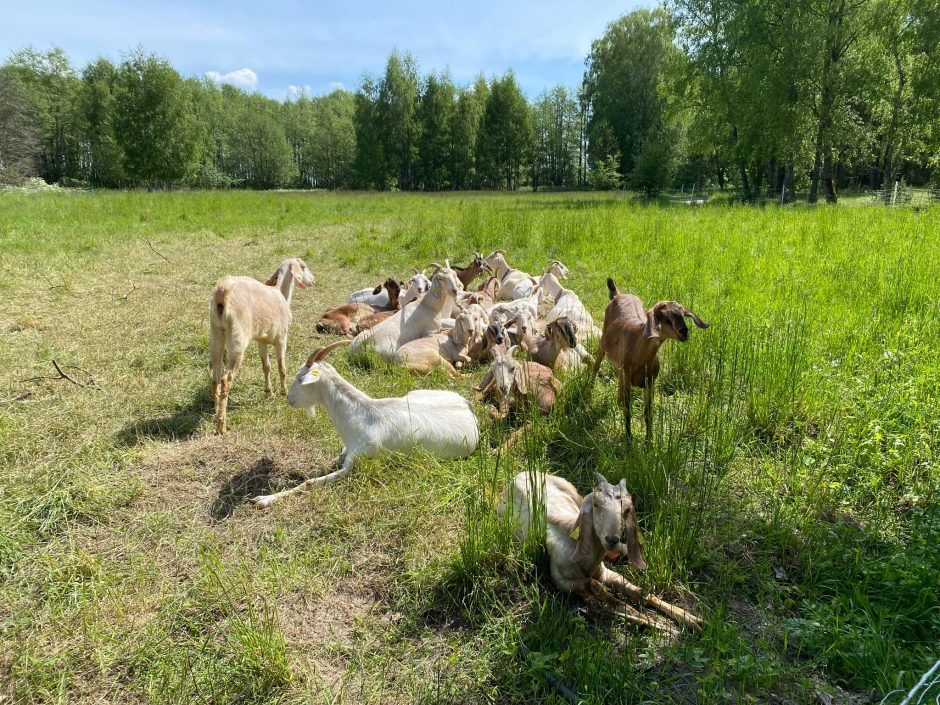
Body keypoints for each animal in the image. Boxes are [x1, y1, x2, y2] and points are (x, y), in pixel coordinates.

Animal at [209, 258, 316, 434]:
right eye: (304, 266)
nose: (313, 280)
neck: (281, 295)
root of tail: (222, 292)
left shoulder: (261, 340)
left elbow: (266, 366)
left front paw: (268, 392)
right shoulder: (282, 338)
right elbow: (281, 367)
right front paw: (283, 392)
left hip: (216, 334)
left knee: (215, 378)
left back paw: (216, 411)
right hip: (237, 340)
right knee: (226, 380)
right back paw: (222, 426)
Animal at [252, 340, 478, 506]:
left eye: (300, 379)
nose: (289, 398)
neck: (362, 415)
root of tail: (467, 406)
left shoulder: (355, 463)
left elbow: (308, 483)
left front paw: (264, 499)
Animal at [500, 470, 704, 628]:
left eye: (627, 509)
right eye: (596, 505)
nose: (611, 539)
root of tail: (519, 474)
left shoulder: (605, 573)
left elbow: (641, 592)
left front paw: (692, 619)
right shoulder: (560, 581)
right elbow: (599, 589)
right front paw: (653, 622)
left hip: (573, 492)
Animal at [584, 280, 708, 440]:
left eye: (682, 314)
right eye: (662, 316)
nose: (684, 332)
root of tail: (618, 295)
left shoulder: (650, 381)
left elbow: (648, 413)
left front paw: (649, 441)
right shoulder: (628, 378)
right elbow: (628, 411)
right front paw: (629, 442)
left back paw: (617, 402)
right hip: (602, 345)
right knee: (596, 365)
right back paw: (589, 391)